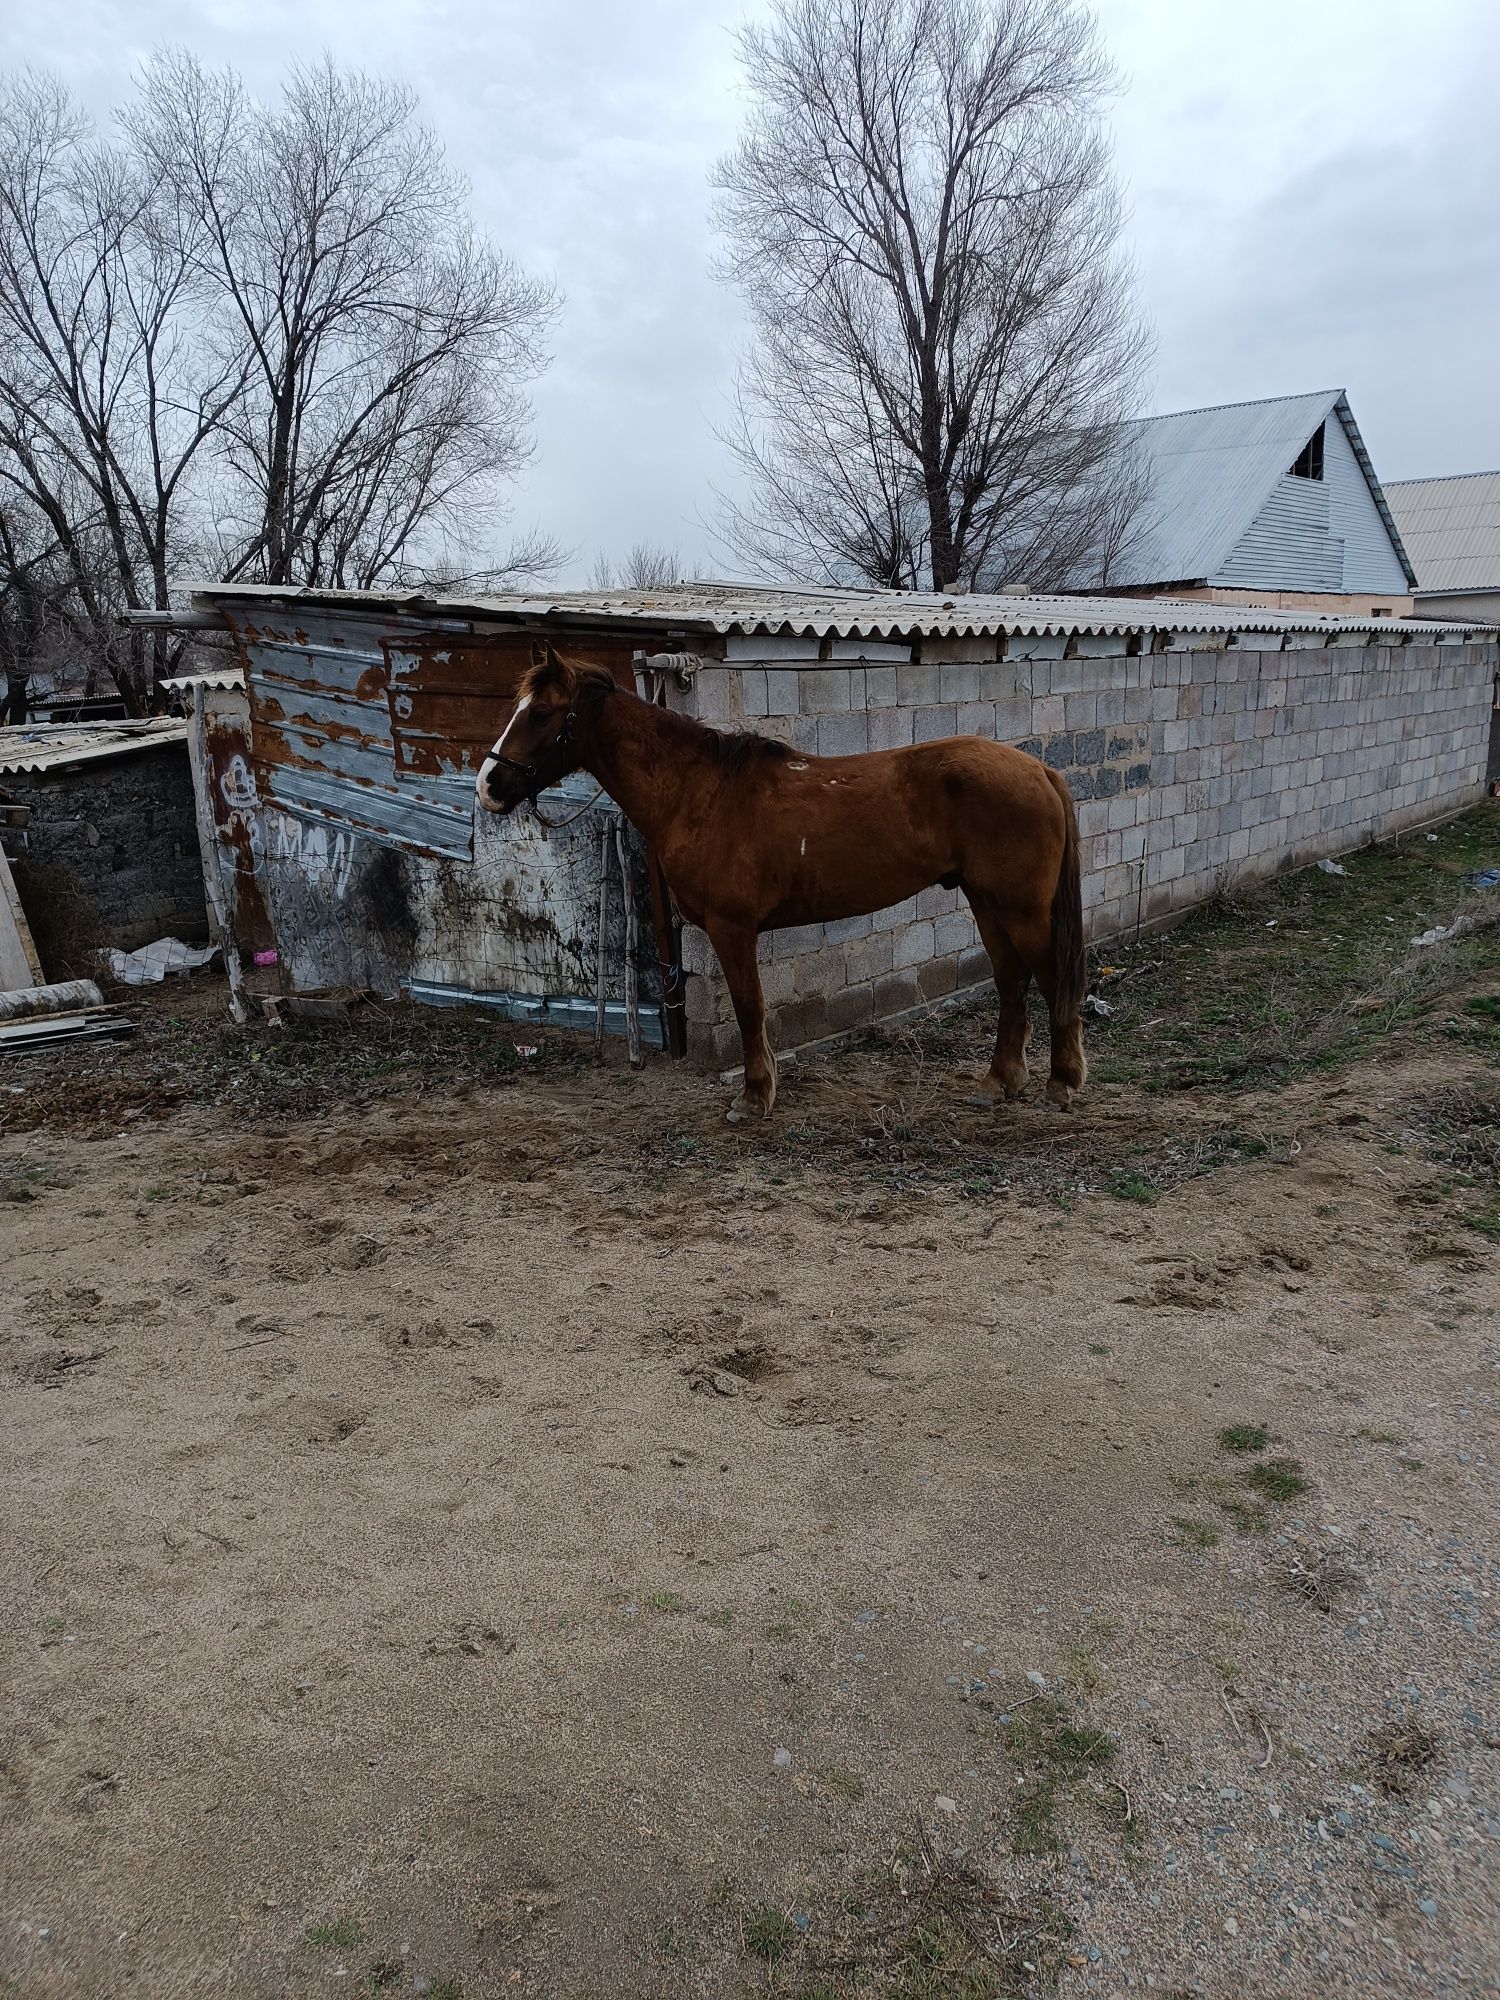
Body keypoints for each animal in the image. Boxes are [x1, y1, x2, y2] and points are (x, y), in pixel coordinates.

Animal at [476, 656, 1088, 1128]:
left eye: (540, 713)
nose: (489, 786)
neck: (699, 793)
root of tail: (1040, 769)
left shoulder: (732, 927)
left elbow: (750, 1007)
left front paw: (753, 1097)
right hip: (987, 903)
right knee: (1012, 982)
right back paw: (999, 1082)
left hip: (1021, 910)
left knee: (1051, 980)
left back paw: (1061, 1082)